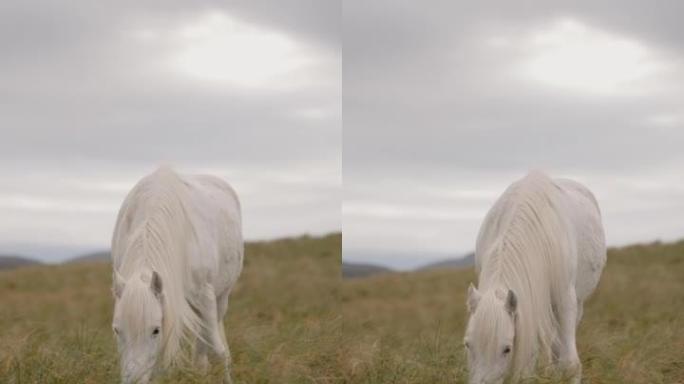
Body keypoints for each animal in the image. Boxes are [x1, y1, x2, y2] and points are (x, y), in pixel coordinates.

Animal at [110, 167, 243, 384]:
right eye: (117, 330)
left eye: (155, 330)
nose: (134, 381)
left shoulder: (205, 296)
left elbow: (218, 350)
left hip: (220, 298)